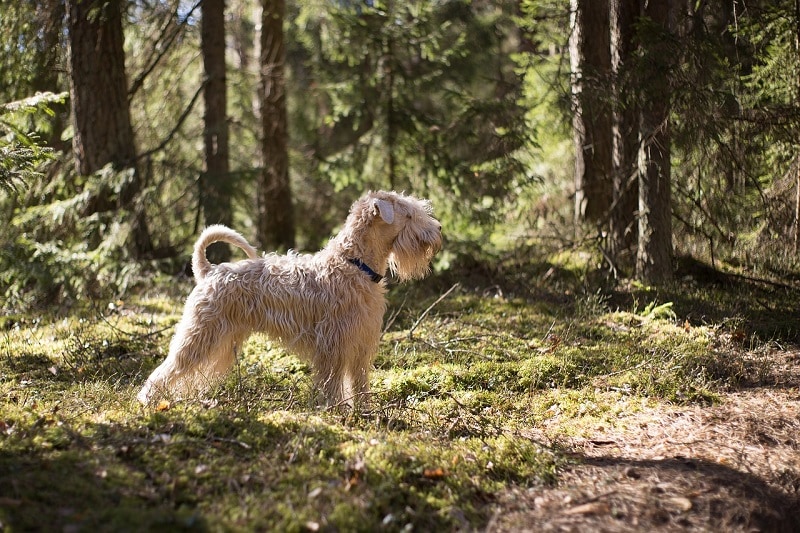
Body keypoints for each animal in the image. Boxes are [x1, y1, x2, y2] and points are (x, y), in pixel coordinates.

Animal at [134, 191, 440, 408]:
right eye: (409, 214)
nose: (438, 229)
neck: (355, 265)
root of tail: (209, 271)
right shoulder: (333, 345)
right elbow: (332, 384)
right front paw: (334, 410)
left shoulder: (360, 343)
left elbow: (359, 382)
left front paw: (365, 410)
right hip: (198, 336)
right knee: (167, 369)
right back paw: (147, 400)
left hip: (220, 340)